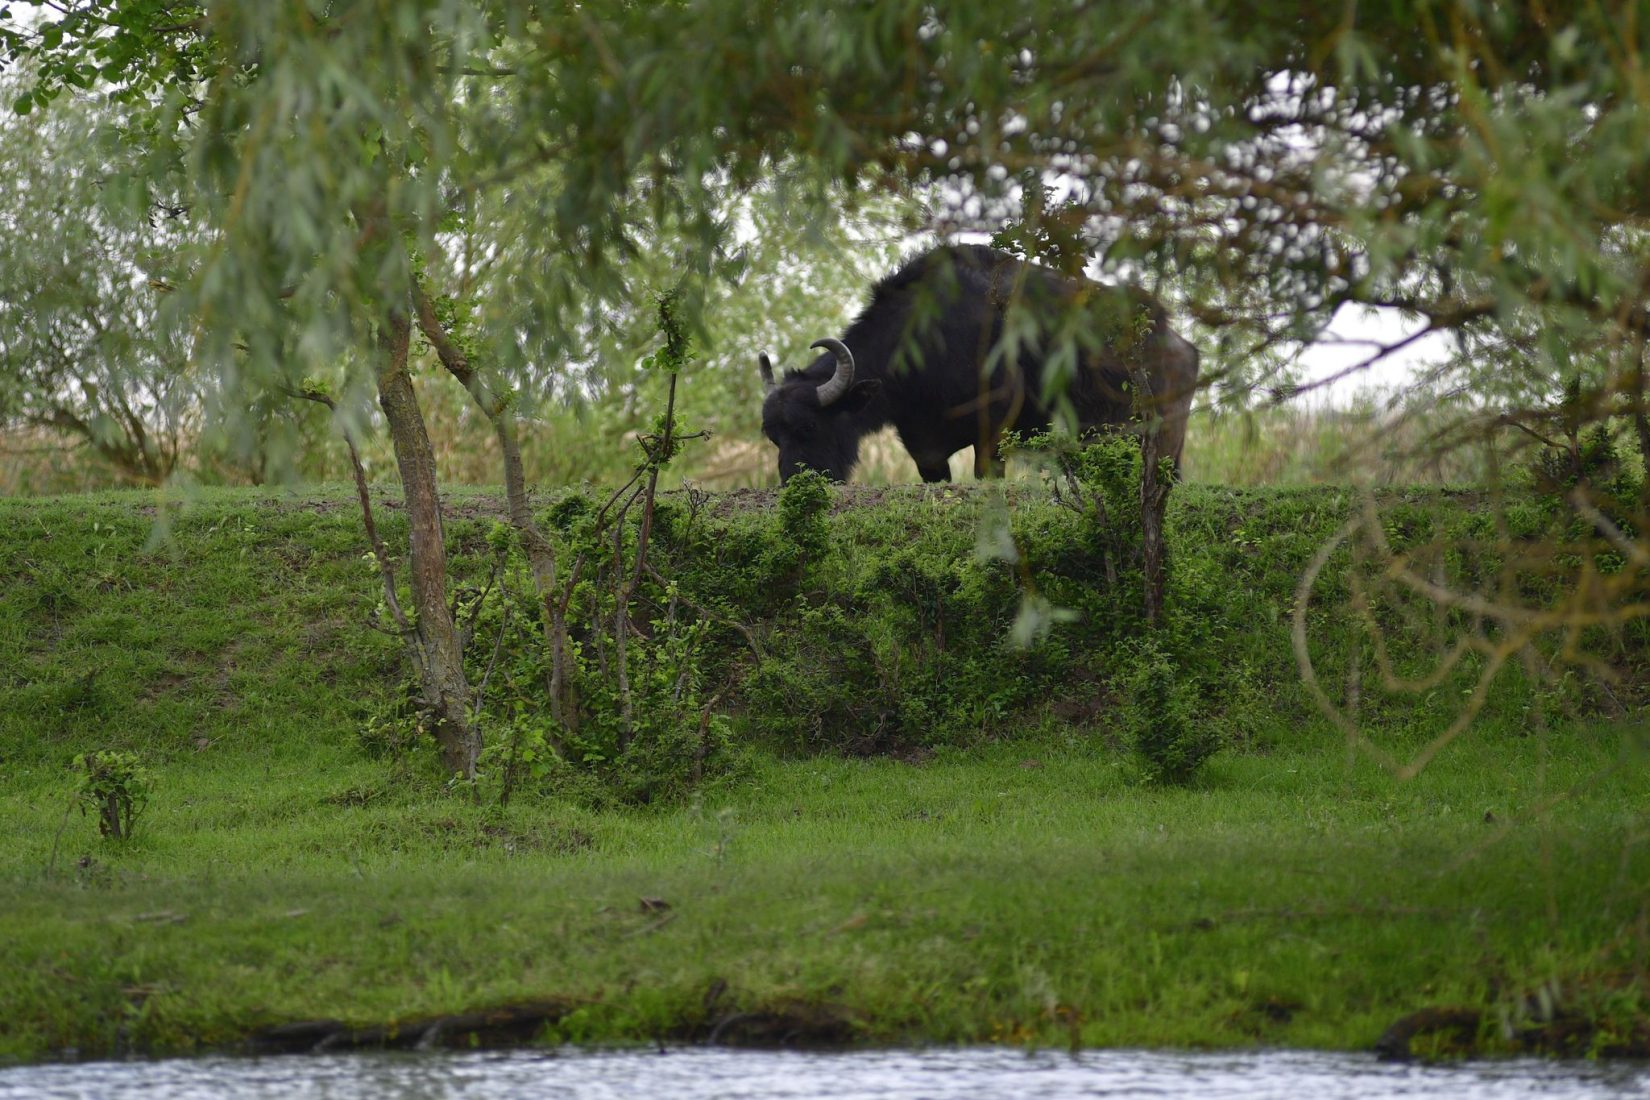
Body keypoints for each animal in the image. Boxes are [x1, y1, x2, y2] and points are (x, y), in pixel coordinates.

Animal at [759, 245, 1201, 484]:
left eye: (809, 426)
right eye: (773, 437)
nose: (793, 483)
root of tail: (1181, 346)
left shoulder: (996, 423)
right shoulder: (924, 445)